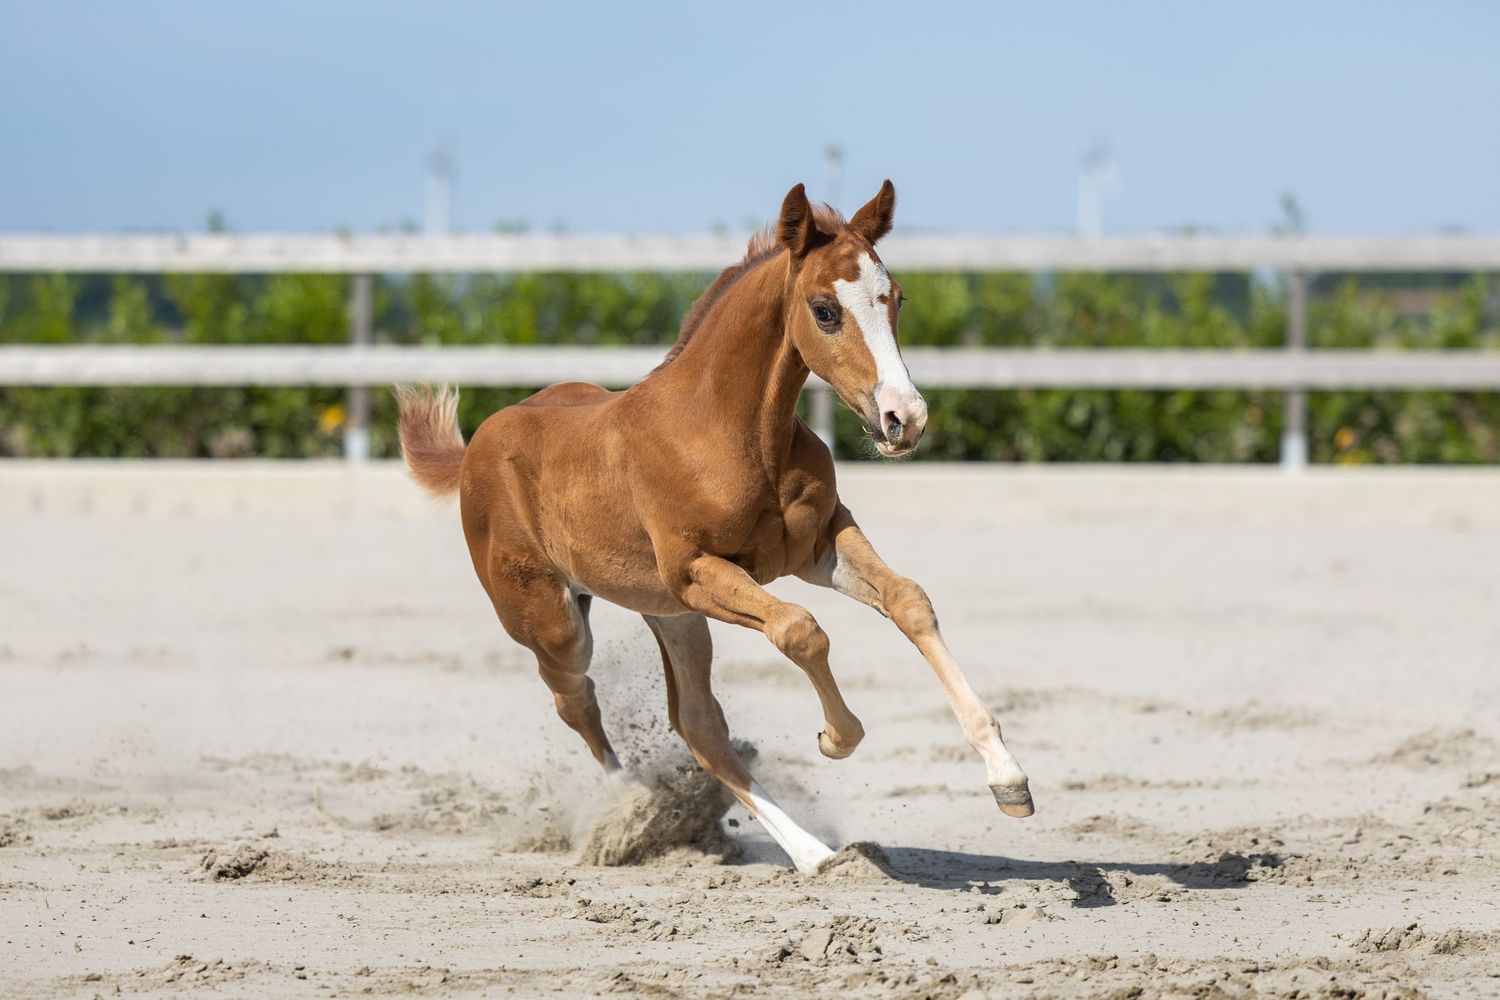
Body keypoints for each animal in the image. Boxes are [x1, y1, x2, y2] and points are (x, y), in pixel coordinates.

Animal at [395, 181, 1033, 873]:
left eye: (896, 298)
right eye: (824, 311)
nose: (904, 418)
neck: (734, 431)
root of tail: (475, 447)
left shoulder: (818, 545)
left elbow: (908, 601)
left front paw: (1008, 779)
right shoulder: (698, 571)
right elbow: (799, 630)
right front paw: (836, 737)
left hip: (671, 615)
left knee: (696, 723)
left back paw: (807, 853)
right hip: (556, 620)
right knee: (575, 696)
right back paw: (632, 803)